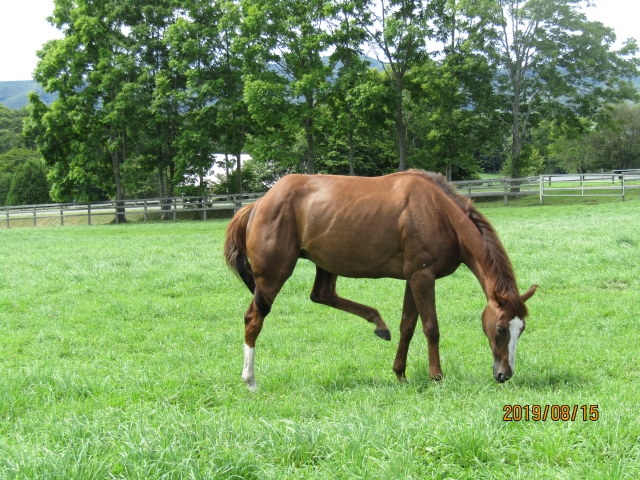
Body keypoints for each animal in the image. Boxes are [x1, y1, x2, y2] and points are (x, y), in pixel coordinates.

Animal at [225, 171, 536, 392]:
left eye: (521, 329)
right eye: (500, 329)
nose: (504, 375)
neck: (439, 212)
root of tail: (258, 204)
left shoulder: (413, 278)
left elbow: (407, 327)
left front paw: (400, 373)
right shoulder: (423, 277)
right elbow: (431, 328)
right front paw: (436, 377)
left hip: (327, 263)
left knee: (322, 295)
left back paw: (378, 323)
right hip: (273, 275)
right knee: (254, 318)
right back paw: (250, 381)